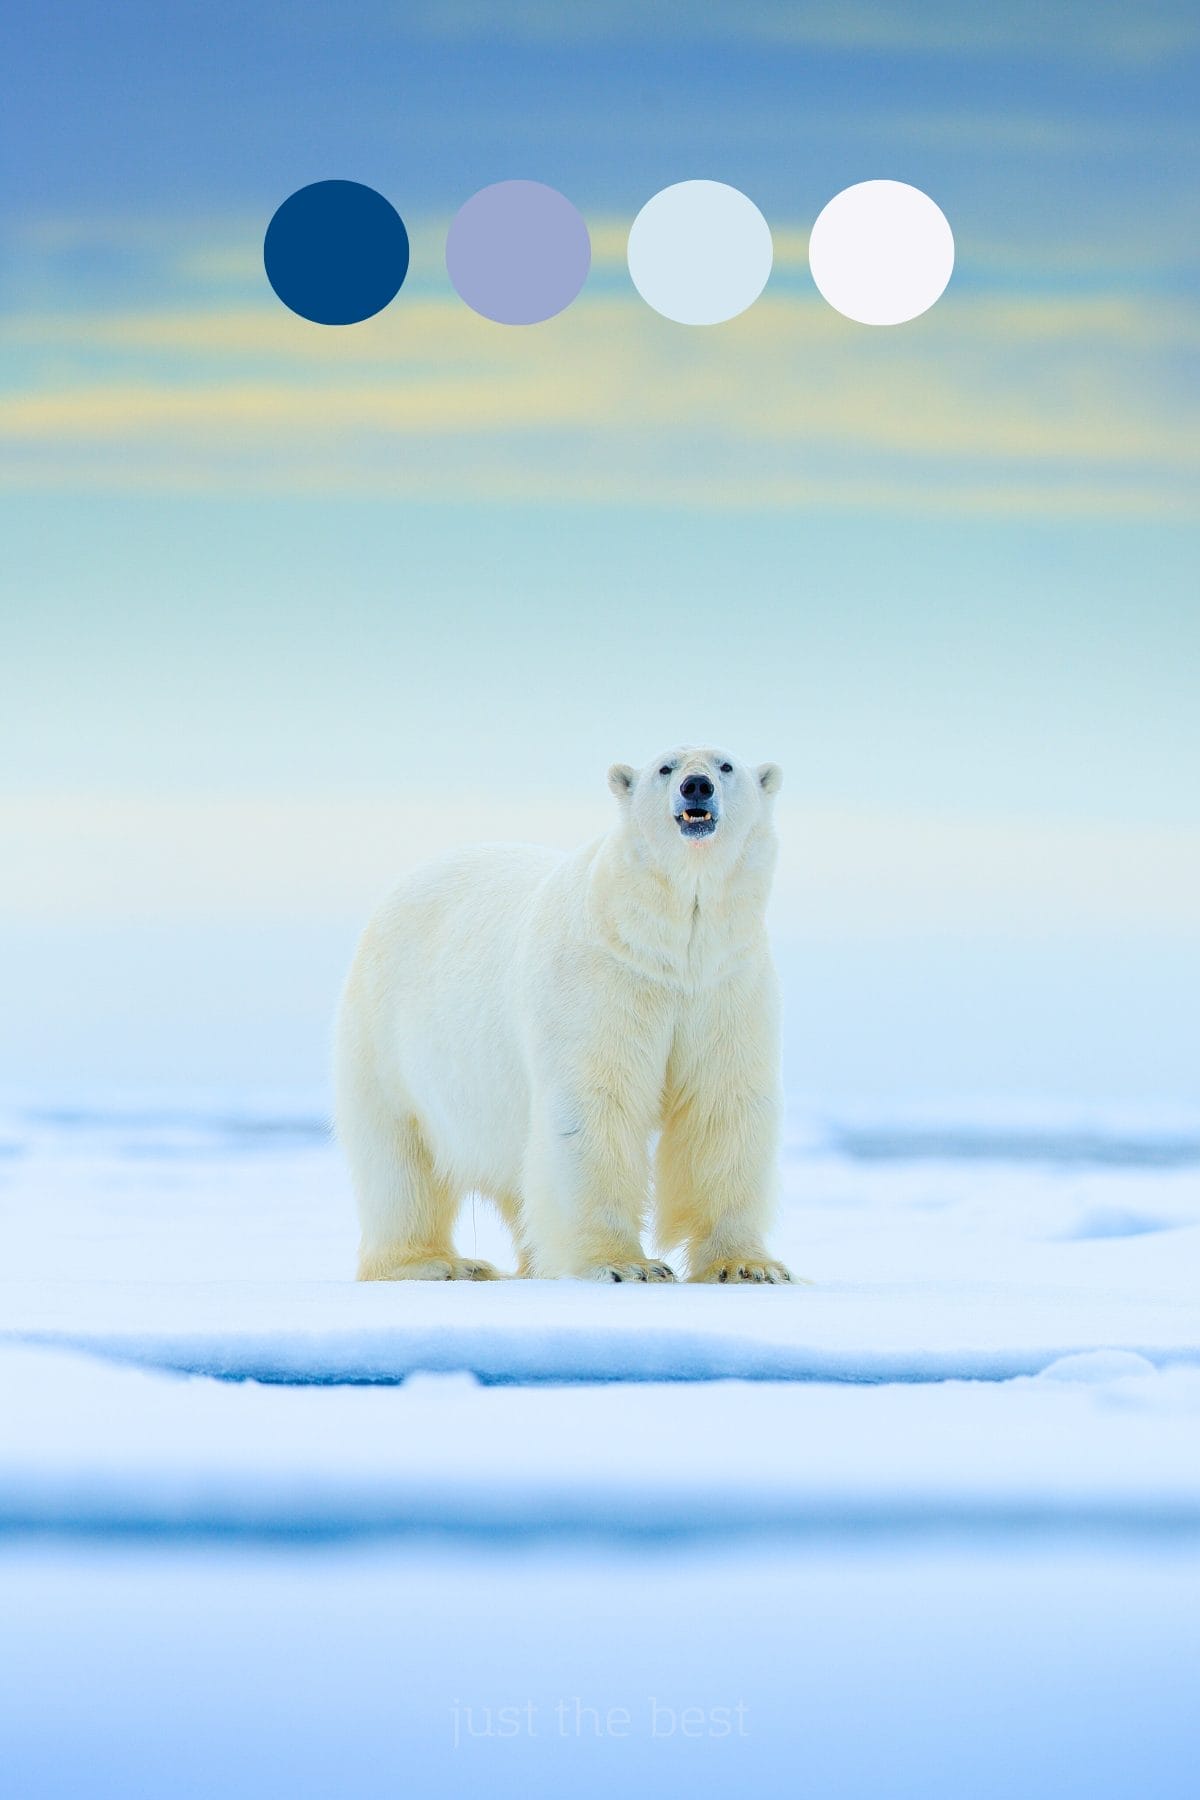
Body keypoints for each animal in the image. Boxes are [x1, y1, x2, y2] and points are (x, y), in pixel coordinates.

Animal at [334, 745, 791, 1283]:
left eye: (725, 766)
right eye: (665, 767)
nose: (695, 786)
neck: (667, 945)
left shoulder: (724, 985)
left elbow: (722, 1106)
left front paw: (748, 1266)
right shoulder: (603, 980)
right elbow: (594, 1104)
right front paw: (624, 1265)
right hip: (385, 1037)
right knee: (399, 1162)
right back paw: (440, 1263)